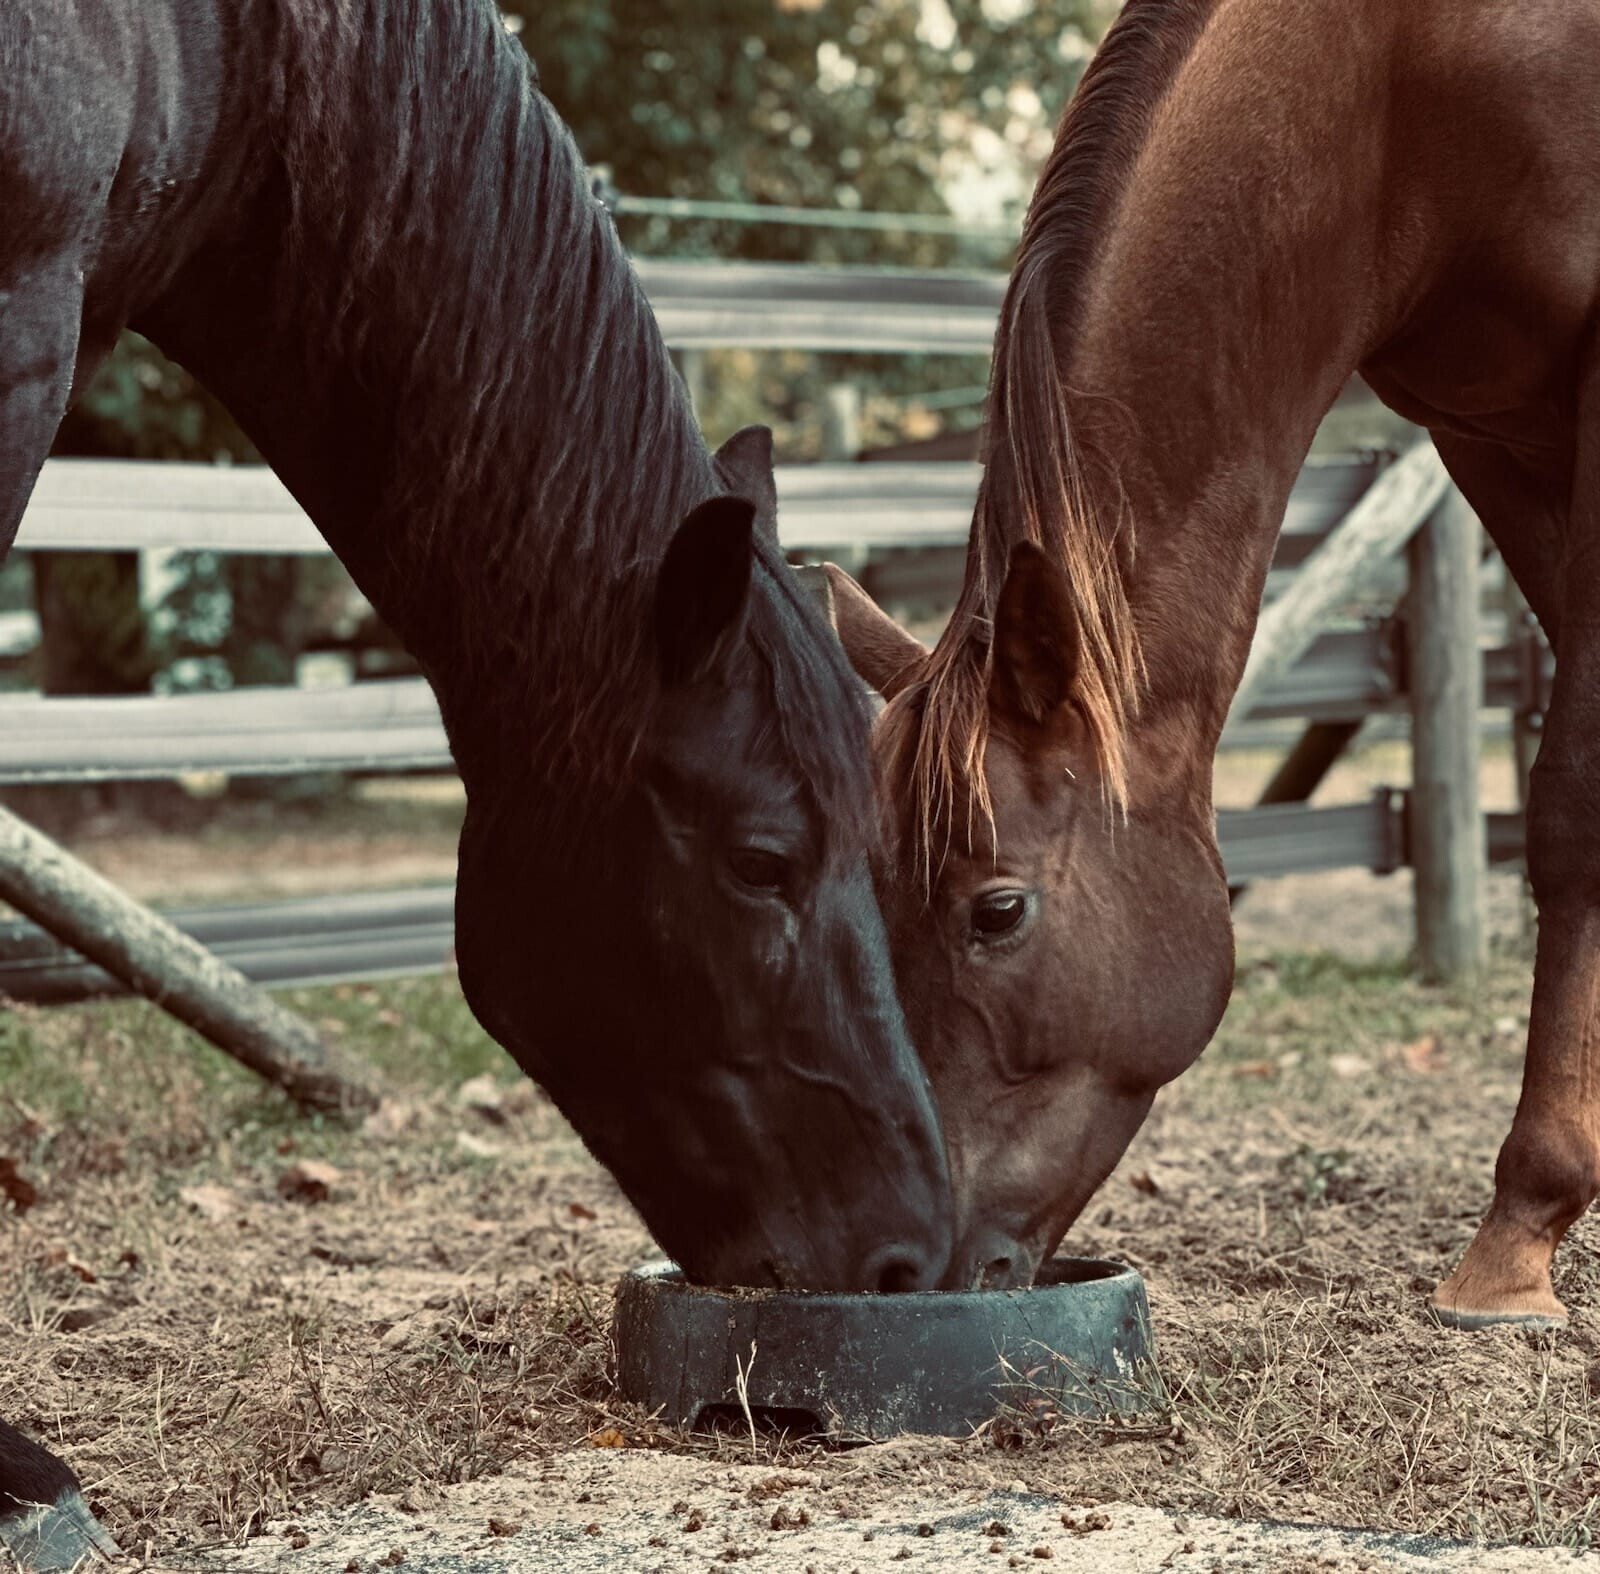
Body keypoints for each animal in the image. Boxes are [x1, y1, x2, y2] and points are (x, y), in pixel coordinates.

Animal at [822, 0, 1600, 1319]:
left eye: (997, 910)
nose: (911, 1265)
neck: (1410, 78)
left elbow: (1568, 812)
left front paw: (1515, 1238)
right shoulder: (1499, 442)